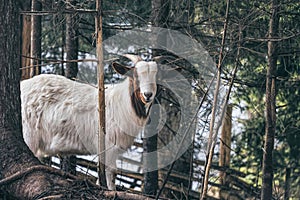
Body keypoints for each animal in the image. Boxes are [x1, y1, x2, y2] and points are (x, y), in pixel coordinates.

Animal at [20, 54, 158, 189]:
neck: (122, 103)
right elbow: (111, 173)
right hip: (29, 135)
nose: (148, 95)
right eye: (136, 76)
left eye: (155, 76)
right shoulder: (108, 146)